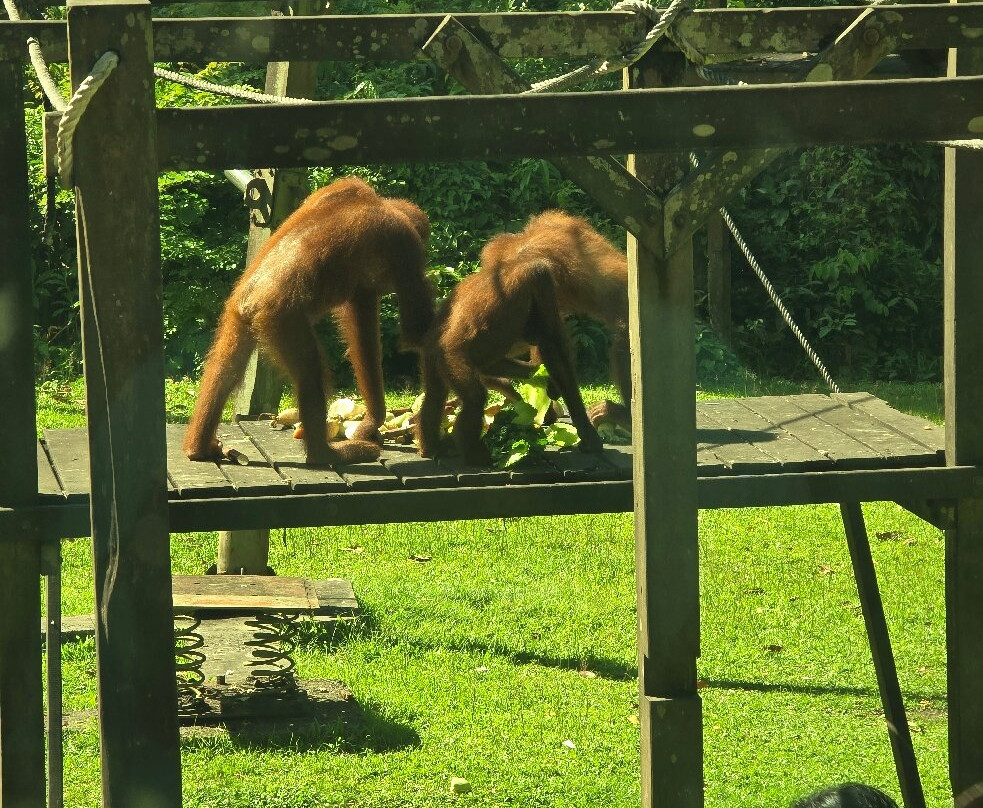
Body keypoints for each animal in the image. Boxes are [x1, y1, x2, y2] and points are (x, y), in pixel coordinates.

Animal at [184, 176, 434, 466]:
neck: (380, 202)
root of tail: (251, 299)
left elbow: (361, 326)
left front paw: (372, 422)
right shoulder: (404, 244)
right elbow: (414, 332)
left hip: (236, 315)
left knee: (226, 369)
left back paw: (199, 447)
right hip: (281, 320)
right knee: (309, 370)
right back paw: (323, 453)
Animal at [415, 212, 622, 466]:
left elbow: (494, 364)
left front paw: (541, 382)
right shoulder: (540, 278)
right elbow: (553, 347)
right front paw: (587, 433)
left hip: (432, 358)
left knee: (435, 395)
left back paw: (431, 445)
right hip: (452, 359)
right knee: (474, 398)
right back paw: (474, 452)